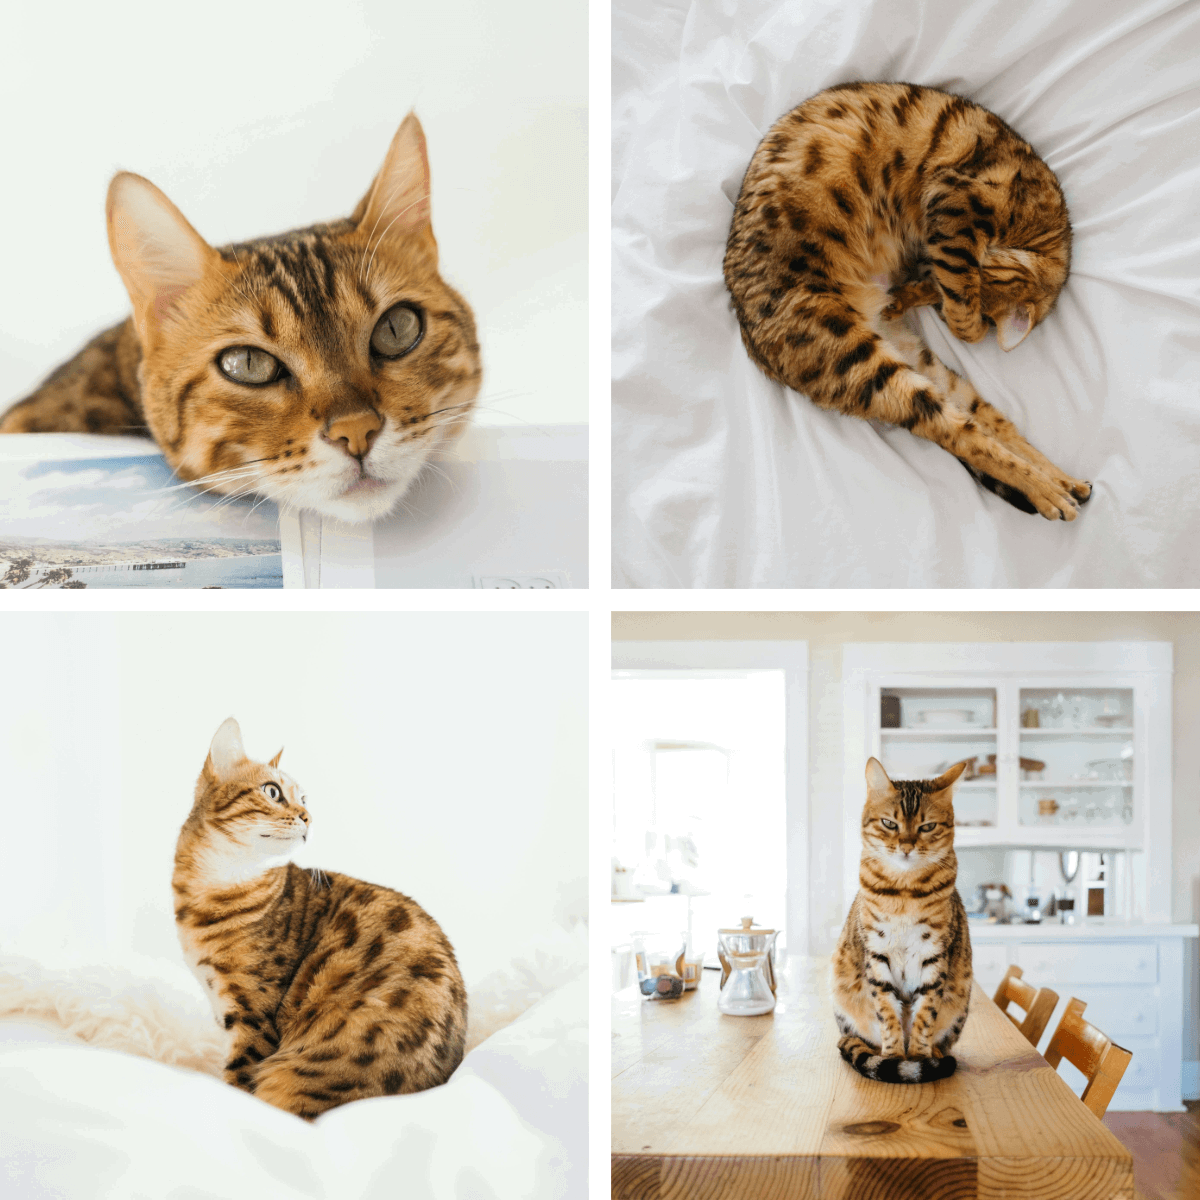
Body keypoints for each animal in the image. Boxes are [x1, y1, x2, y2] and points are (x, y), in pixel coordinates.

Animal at [175, 710, 465, 1113]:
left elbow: (239, 1082)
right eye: (272, 791)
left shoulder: (253, 1014)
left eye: (304, 798)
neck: (213, 887)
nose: (308, 816)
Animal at [720, 79, 1089, 520]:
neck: (1045, 224)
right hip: (860, 361)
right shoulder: (955, 205)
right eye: (938, 301)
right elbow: (962, 293)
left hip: (914, 365)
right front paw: (960, 319)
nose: (915, 292)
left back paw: (1062, 482)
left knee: (984, 426)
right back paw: (1049, 491)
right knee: (962, 436)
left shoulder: (951, 227)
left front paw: (922, 303)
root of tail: (750, 340)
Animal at [835, 758, 974, 1089]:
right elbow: (887, 1013)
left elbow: (925, 1015)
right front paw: (895, 1057)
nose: (907, 846)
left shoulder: (934, 955)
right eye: (889, 823)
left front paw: (920, 1058)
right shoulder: (877, 953)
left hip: (960, 1001)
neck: (904, 892)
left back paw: (935, 1053)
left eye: (927, 826)